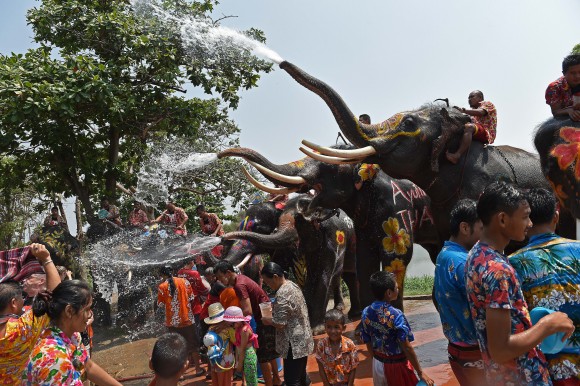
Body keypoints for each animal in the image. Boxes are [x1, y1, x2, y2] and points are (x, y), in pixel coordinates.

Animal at [220, 196, 360, 332]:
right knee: (348, 275)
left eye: (259, 229)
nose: (222, 237)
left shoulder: (335, 235)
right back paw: (352, 314)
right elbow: (308, 272)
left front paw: (316, 329)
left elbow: (326, 273)